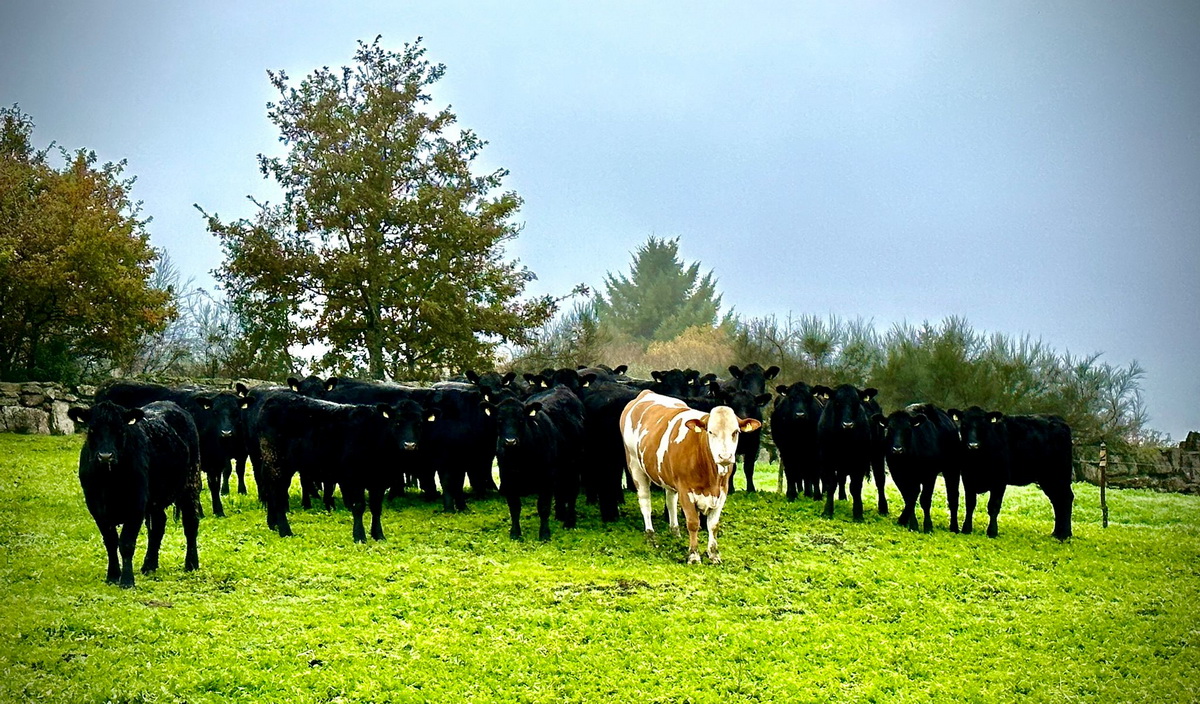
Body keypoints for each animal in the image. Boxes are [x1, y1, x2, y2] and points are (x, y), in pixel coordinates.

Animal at [68, 402, 201, 590]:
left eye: (120, 430)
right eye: (92, 429)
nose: (105, 456)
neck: (109, 480)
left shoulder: (136, 505)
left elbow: (126, 543)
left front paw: (127, 580)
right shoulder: (96, 506)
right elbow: (110, 541)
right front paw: (112, 575)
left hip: (191, 482)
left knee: (190, 523)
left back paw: (191, 564)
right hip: (155, 499)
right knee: (158, 525)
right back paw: (149, 565)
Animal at [482, 386, 585, 539]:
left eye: (521, 420)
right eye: (499, 420)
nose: (510, 442)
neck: (520, 459)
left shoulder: (547, 479)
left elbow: (543, 507)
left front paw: (544, 534)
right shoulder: (507, 478)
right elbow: (514, 507)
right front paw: (515, 533)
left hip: (574, 463)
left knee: (572, 491)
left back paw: (569, 522)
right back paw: (560, 515)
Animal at [619, 388, 758, 563]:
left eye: (735, 432)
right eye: (710, 431)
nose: (725, 457)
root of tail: (645, 393)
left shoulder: (722, 491)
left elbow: (713, 525)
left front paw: (714, 554)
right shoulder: (685, 490)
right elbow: (693, 523)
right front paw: (693, 555)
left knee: (670, 500)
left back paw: (675, 532)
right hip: (635, 465)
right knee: (645, 502)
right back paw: (651, 536)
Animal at [950, 405, 1075, 542]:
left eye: (983, 425)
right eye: (964, 425)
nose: (973, 445)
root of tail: (1058, 419)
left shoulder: (1000, 480)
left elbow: (993, 506)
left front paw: (992, 532)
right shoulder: (968, 478)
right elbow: (970, 504)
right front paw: (966, 529)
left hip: (1060, 474)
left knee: (1066, 498)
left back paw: (1064, 534)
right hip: (1047, 478)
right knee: (1057, 500)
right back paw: (1056, 533)